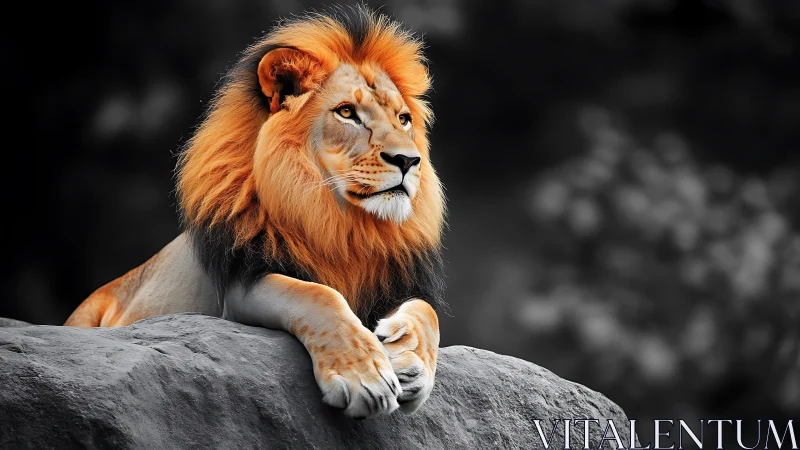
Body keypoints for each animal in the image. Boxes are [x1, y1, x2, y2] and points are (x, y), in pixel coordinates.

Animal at [64, 7, 446, 419]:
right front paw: (363, 375)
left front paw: (411, 362)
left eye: (403, 119)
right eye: (347, 113)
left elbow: (427, 311)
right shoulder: (239, 287)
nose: (408, 160)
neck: (341, 223)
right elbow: (318, 295)